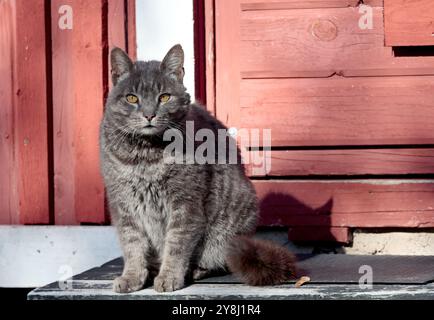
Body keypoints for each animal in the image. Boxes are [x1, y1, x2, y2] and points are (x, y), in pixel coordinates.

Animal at [99, 44, 294, 292]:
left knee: (217, 260)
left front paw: (169, 276)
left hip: (229, 226)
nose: (149, 114)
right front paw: (132, 276)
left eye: (164, 97)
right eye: (132, 98)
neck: (146, 157)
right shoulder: (123, 204)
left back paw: (193, 270)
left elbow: (177, 244)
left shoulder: (185, 202)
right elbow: (132, 244)